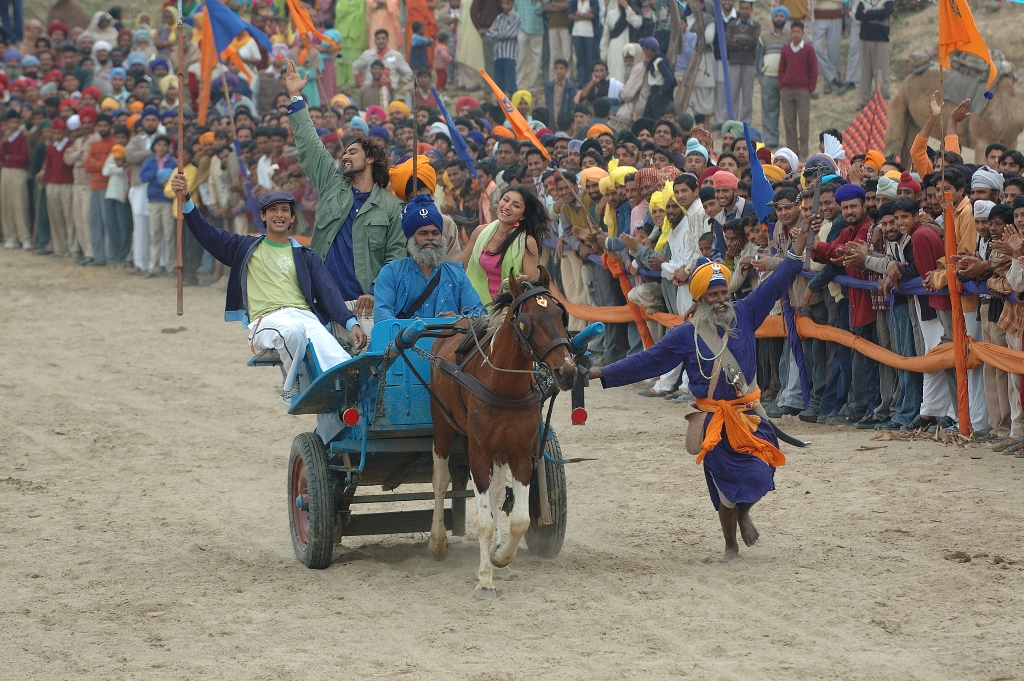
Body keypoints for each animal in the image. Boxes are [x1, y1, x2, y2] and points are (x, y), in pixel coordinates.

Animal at [423, 268, 577, 598]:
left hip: (500, 450)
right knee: (440, 480)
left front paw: (501, 556)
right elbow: (482, 519)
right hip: (443, 426)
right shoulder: (478, 451)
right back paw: (438, 541)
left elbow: (519, 518)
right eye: (527, 321)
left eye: (561, 314)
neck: (504, 386)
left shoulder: (520, 452)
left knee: (495, 494)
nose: (567, 372)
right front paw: (484, 578)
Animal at [880, 61, 1024, 164]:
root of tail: (905, 81)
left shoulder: (1011, 139)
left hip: (912, 121)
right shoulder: (982, 139)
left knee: (907, 150)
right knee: (894, 143)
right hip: (899, 102)